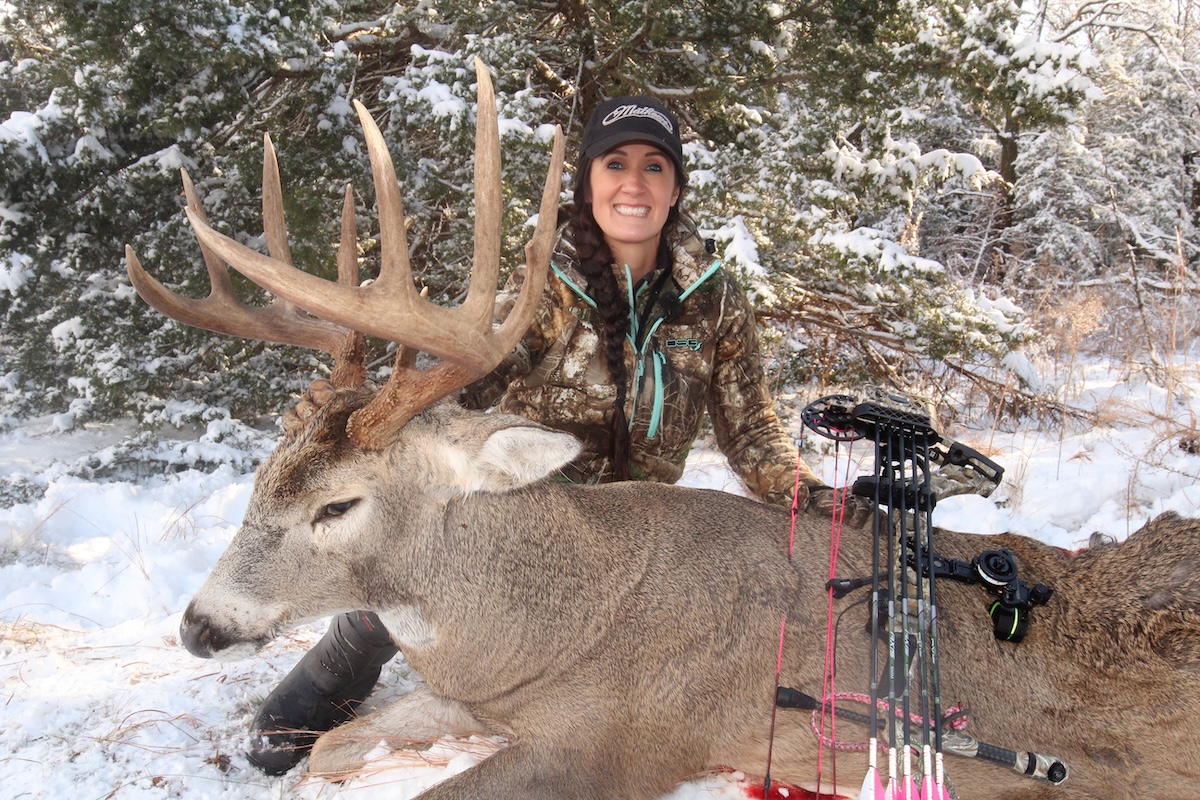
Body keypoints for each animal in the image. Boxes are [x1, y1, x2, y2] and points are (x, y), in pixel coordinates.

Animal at [125, 59, 1200, 800]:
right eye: (262, 476)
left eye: (338, 504)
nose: (198, 625)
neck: (537, 625)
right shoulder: (470, 699)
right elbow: (333, 748)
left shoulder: (620, 739)